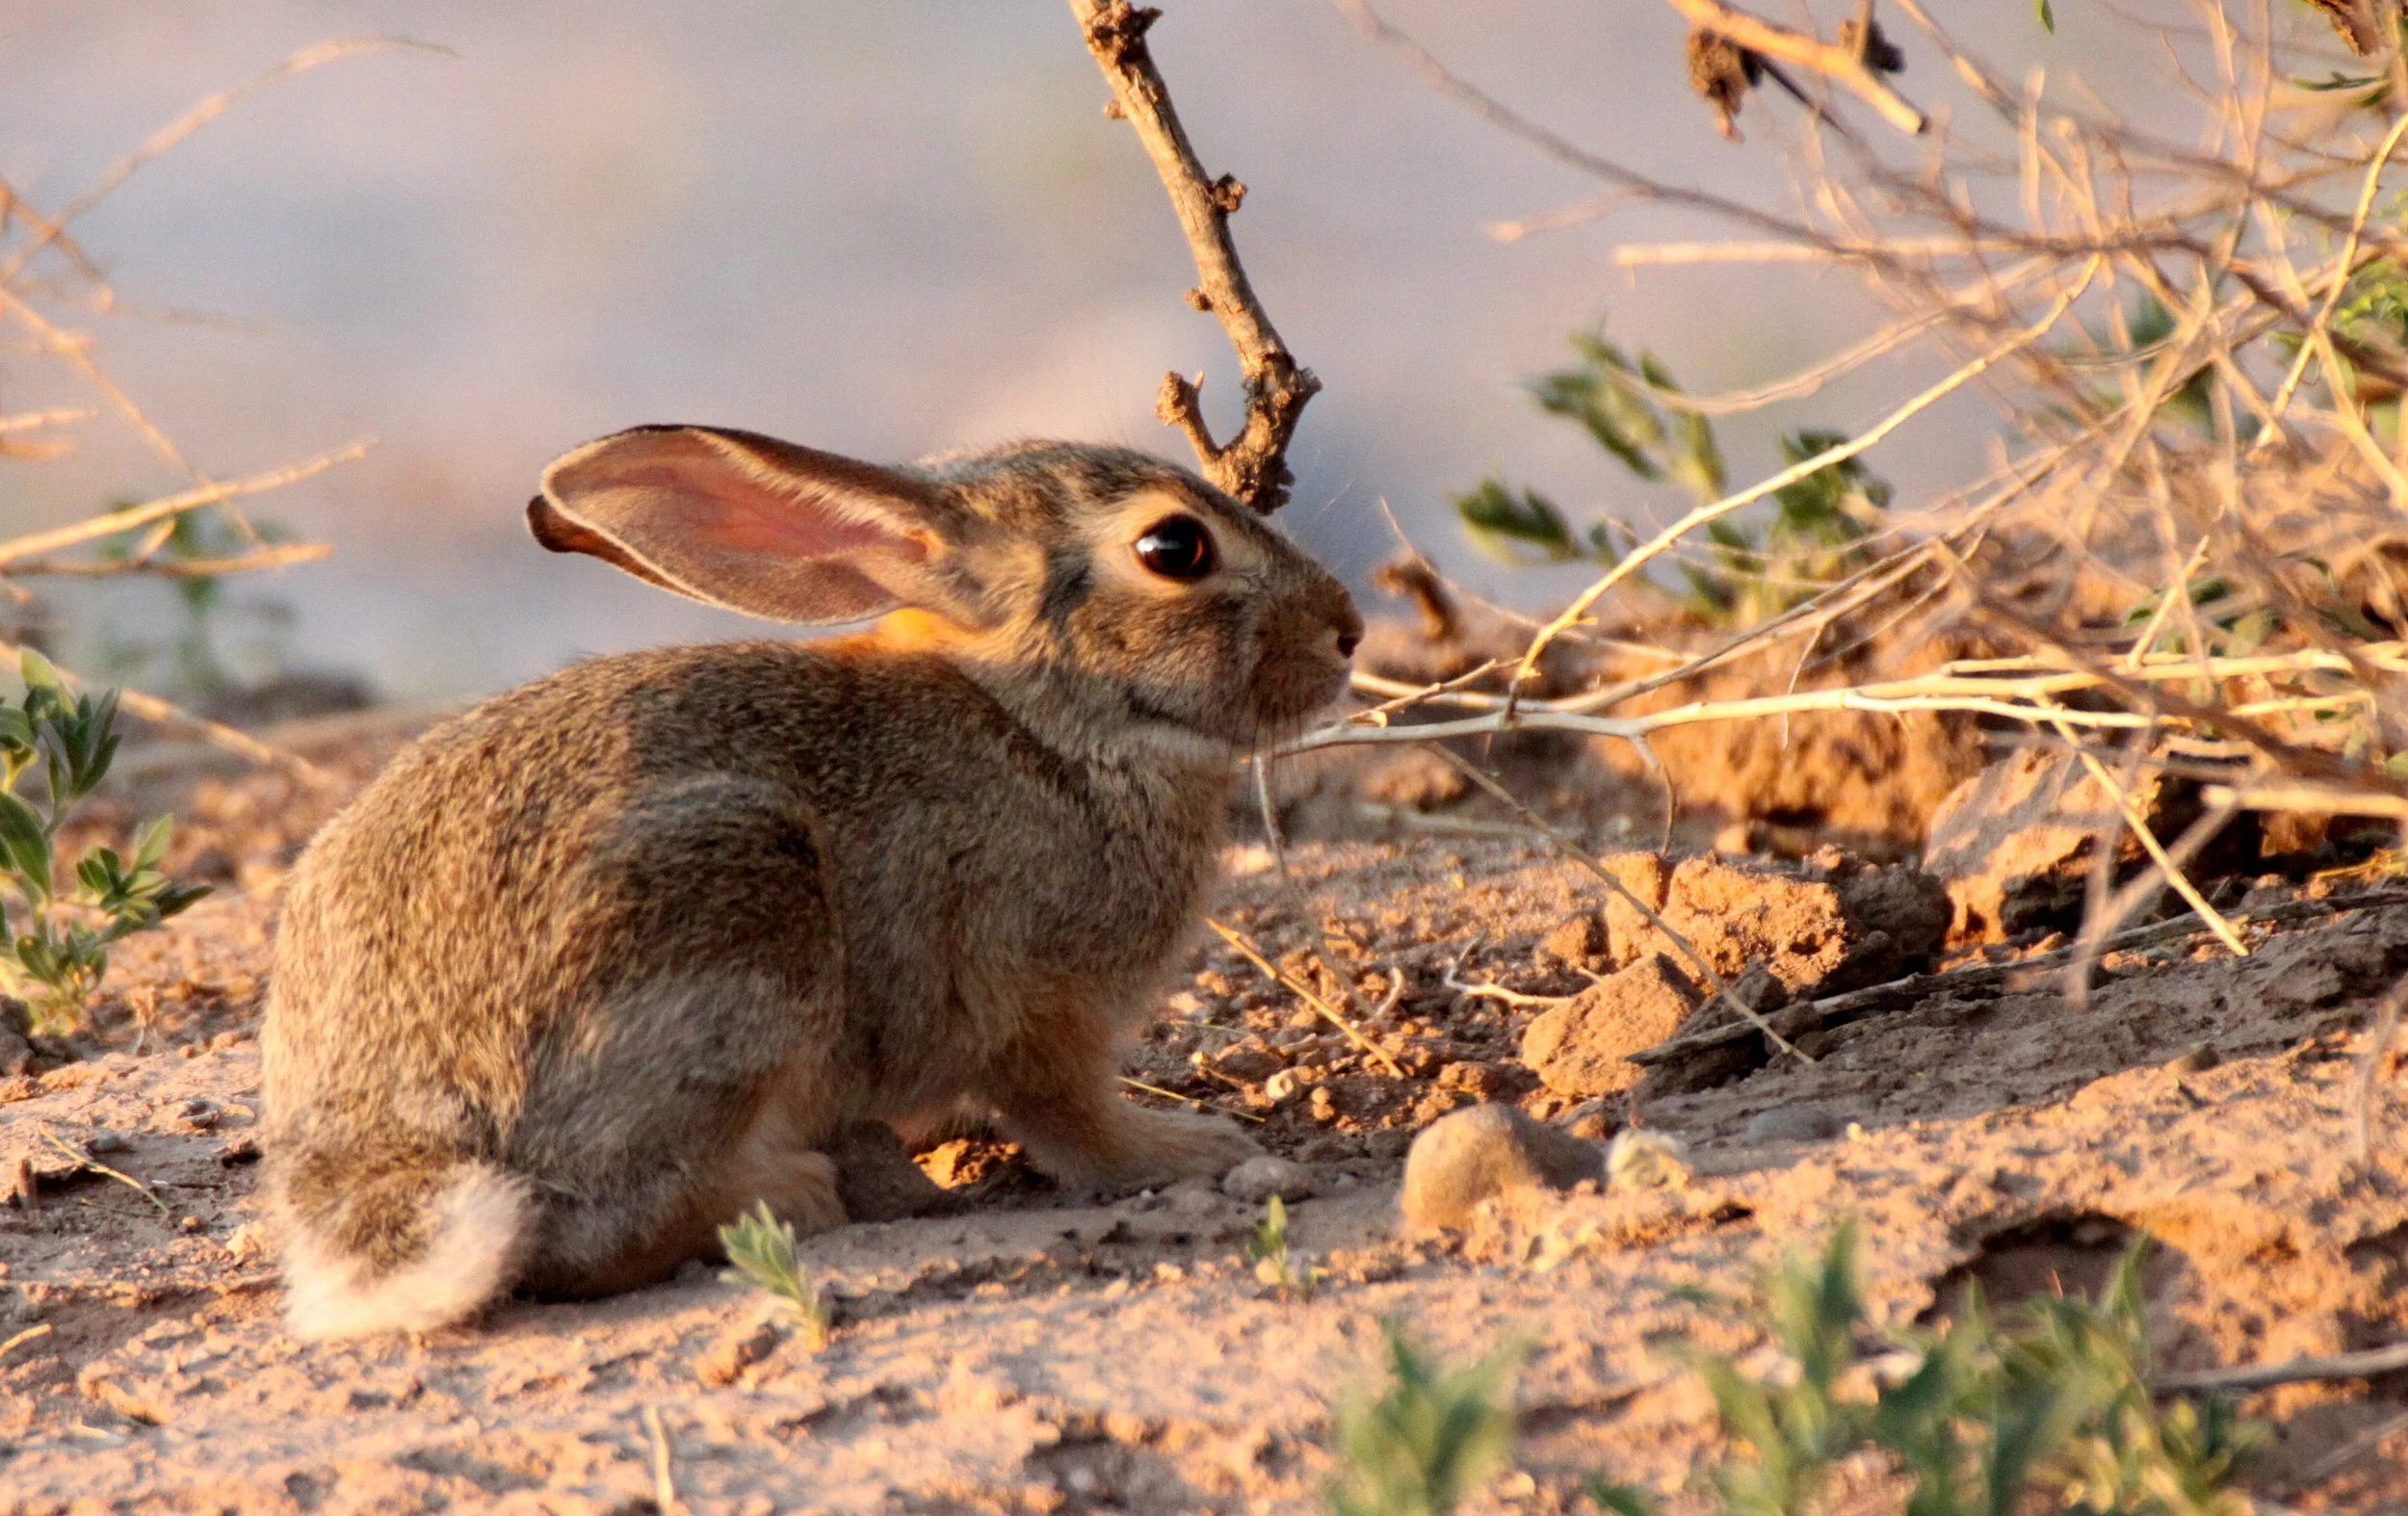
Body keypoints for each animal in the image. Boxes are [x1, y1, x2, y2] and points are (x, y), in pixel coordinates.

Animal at [260, 425, 1361, 1340]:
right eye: (1175, 549)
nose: (1344, 629)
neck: (1045, 721)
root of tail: (392, 1144)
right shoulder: (1034, 999)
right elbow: (1071, 1115)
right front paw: (1187, 1151)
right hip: (727, 918)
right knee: (595, 1233)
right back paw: (792, 1195)